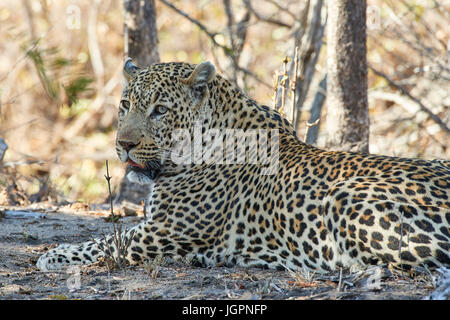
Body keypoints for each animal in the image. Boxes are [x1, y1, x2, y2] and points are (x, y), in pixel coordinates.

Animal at [36, 58, 450, 272]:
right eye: (125, 105)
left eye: (160, 110)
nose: (124, 145)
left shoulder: (164, 230)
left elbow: (105, 243)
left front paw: (51, 256)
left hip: (346, 200)